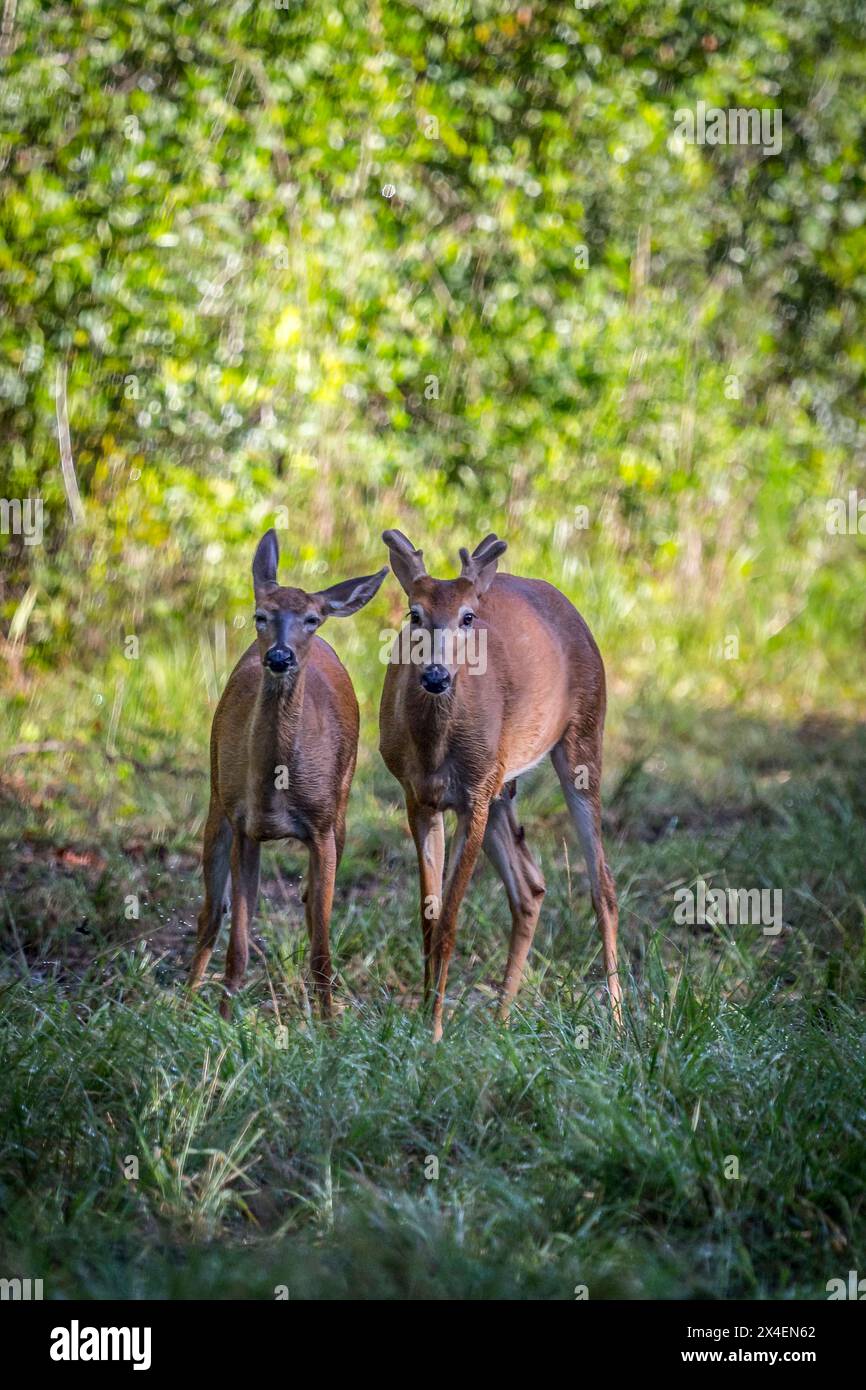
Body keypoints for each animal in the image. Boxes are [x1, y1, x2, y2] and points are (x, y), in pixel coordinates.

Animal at [193, 530, 389, 1023]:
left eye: (312, 619)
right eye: (260, 615)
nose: (280, 656)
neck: (276, 787)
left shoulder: (321, 829)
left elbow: (321, 952)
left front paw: (330, 1028)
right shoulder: (245, 826)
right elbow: (237, 947)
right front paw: (223, 1024)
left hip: (341, 813)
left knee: (307, 911)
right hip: (217, 802)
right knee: (210, 914)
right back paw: (183, 1003)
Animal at [380, 530, 622, 1045]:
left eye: (468, 616)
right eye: (415, 614)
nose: (436, 675)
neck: (434, 748)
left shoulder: (471, 796)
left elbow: (450, 921)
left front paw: (434, 1031)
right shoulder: (419, 798)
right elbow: (429, 919)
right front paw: (421, 1024)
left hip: (583, 735)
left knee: (603, 883)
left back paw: (617, 1021)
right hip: (500, 784)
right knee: (530, 887)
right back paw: (501, 1021)